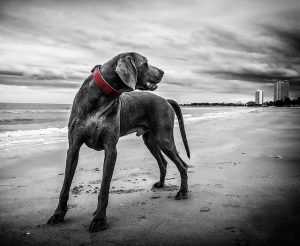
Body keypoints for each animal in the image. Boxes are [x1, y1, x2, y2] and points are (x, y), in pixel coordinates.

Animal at [48, 52, 190, 233]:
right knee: (164, 162)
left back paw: (183, 192)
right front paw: (58, 214)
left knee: (182, 165)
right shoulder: (73, 147)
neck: (102, 95)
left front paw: (99, 219)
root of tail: (165, 100)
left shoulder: (110, 149)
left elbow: (104, 187)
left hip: (163, 138)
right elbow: (65, 185)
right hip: (150, 140)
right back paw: (161, 184)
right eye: (146, 63)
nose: (163, 72)